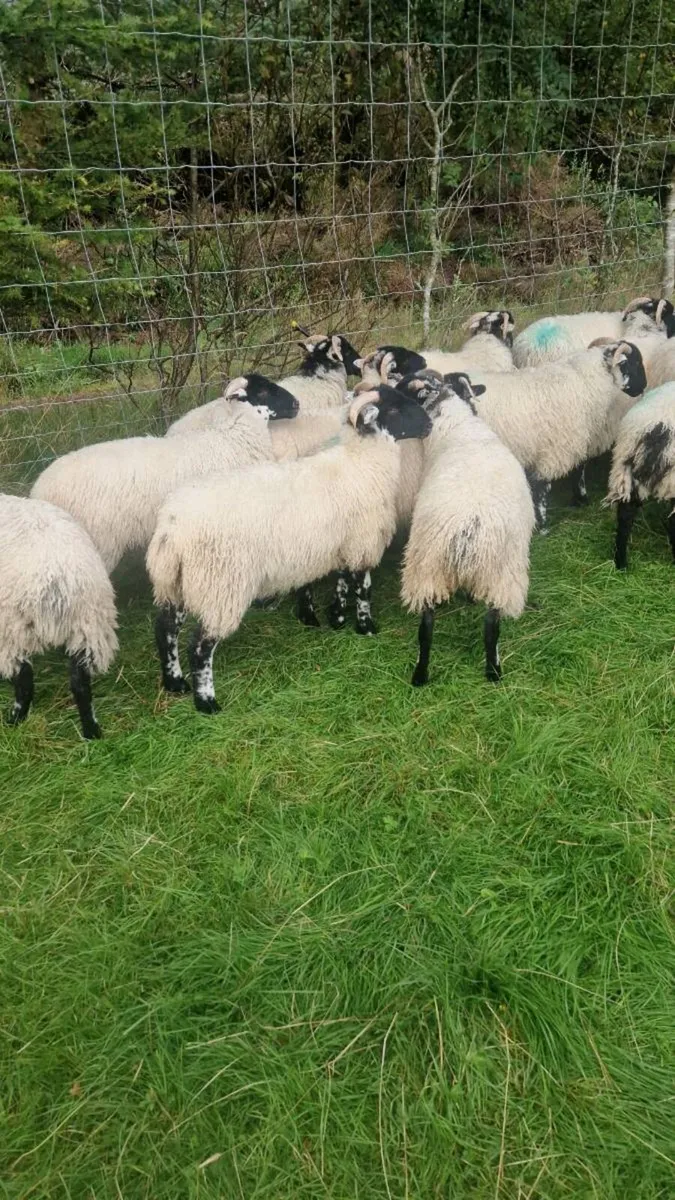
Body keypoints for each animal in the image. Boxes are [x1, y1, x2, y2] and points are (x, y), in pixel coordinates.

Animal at [0, 494, 118, 739]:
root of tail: (60, 580)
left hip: (11, 628)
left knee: (24, 679)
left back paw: (15, 720)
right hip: (88, 625)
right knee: (80, 681)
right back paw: (91, 731)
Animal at [146, 387, 432, 713]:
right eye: (394, 410)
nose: (429, 424)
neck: (361, 462)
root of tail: (170, 529)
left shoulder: (341, 542)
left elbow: (342, 582)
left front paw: (337, 618)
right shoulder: (362, 541)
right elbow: (363, 589)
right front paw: (366, 626)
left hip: (177, 583)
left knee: (166, 629)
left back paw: (174, 682)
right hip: (222, 586)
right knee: (199, 646)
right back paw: (207, 701)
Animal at [398, 372, 535, 685]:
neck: (458, 425)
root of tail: (467, 525)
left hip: (429, 567)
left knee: (428, 625)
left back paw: (421, 675)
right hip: (497, 571)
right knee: (489, 624)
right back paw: (492, 671)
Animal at [466, 341, 647, 531]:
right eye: (634, 363)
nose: (643, 387)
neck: (586, 382)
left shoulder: (578, 440)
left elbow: (579, 470)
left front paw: (580, 499)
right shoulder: (555, 449)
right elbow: (543, 487)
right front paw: (543, 525)